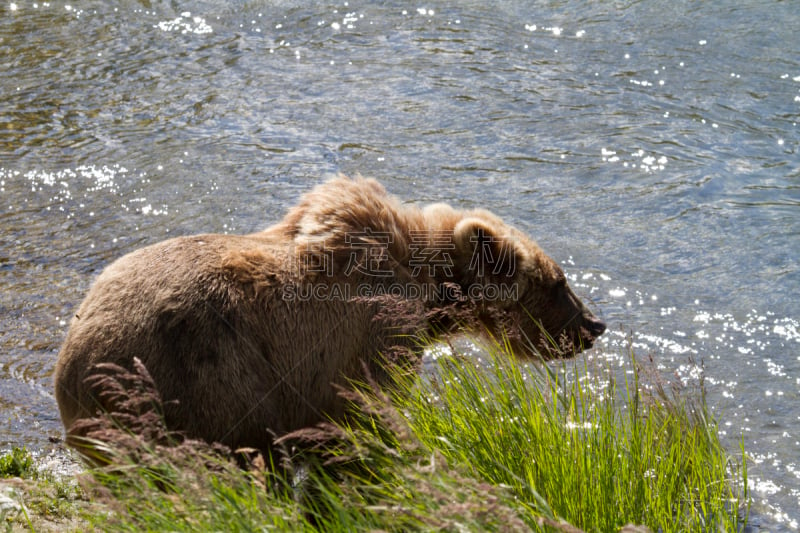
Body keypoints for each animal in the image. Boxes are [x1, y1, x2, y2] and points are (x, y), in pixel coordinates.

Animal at [54, 176, 608, 458]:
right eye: (559, 282)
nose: (595, 327)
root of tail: (70, 371)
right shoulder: (368, 342)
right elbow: (367, 415)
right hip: (196, 380)